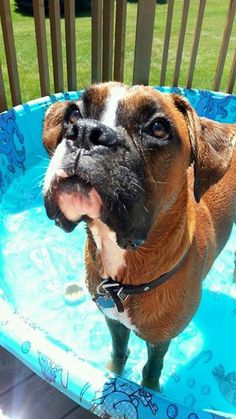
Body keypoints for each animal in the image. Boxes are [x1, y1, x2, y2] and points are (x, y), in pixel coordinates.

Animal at [42, 82, 236, 390]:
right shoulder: (114, 321)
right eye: (73, 114)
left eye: (158, 128)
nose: (85, 131)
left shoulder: (159, 340)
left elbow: (152, 368)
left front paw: (150, 390)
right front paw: (114, 371)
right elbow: (119, 350)